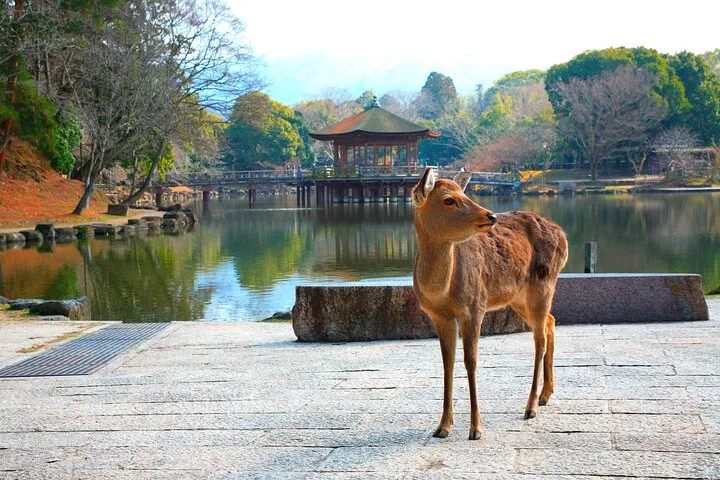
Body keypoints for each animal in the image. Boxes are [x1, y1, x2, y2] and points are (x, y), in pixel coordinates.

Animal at [412, 167, 568, 440]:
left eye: (464, 193)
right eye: (448, 200)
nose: (491, 215)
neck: (442, 292)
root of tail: (563, 234)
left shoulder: (475, 306)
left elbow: (471, 361)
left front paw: (476, 429)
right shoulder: (439, 316)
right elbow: (447, 362)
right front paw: (442, 427)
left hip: (544, 284)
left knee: (539, 339)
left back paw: (531, 407)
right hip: (518, 297)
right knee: (551, 321)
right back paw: (546, 395)